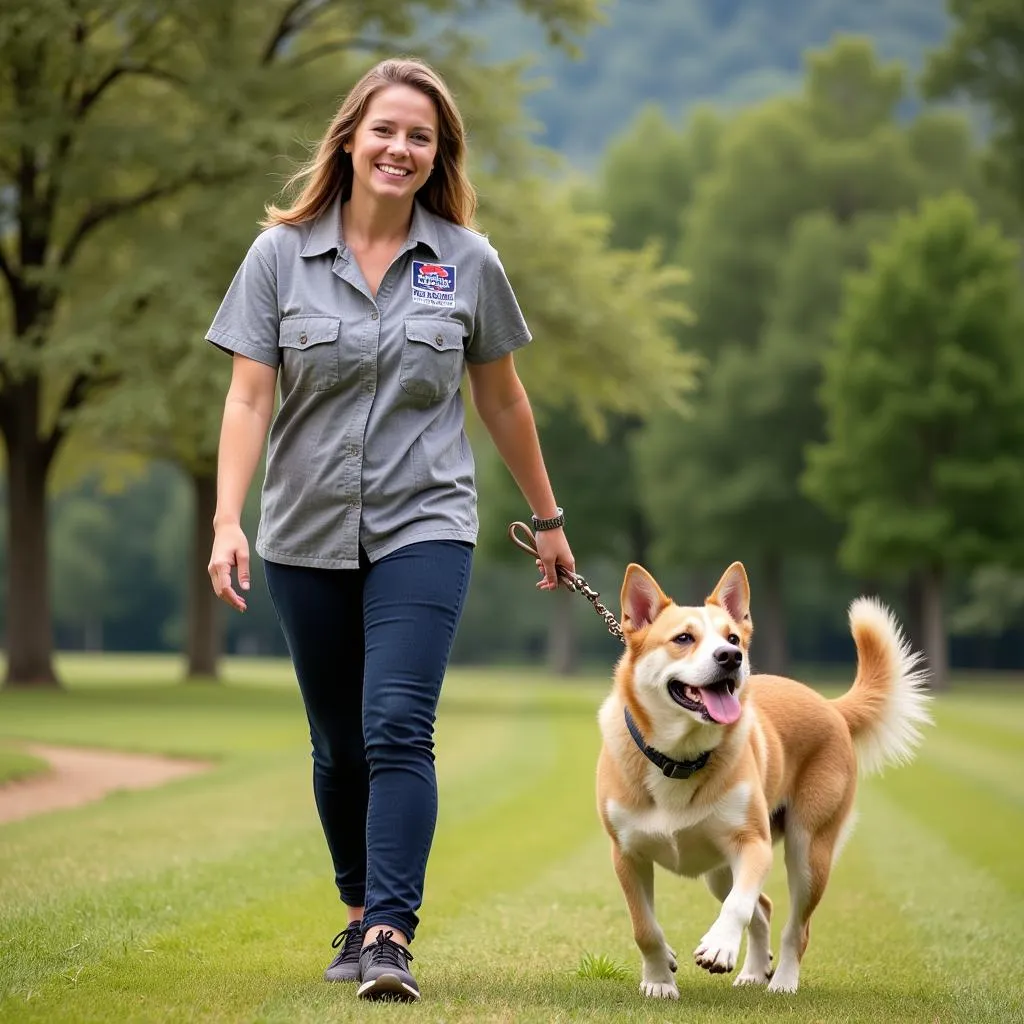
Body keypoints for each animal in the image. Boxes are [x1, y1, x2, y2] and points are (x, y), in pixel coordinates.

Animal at [598, 565, 933, 995]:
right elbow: (645, 927)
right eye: (683, 638)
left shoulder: (753, 844)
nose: (731, 657)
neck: (680, 758)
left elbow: (738, 905)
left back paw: (782, 980)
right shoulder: (626, 855)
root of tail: (830, 706)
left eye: (733, 638)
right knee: (765, 909)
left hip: (808, 851)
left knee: (795, 927)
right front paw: (659, 980)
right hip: (719, 871)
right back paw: (755, 971)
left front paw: (718, 947)